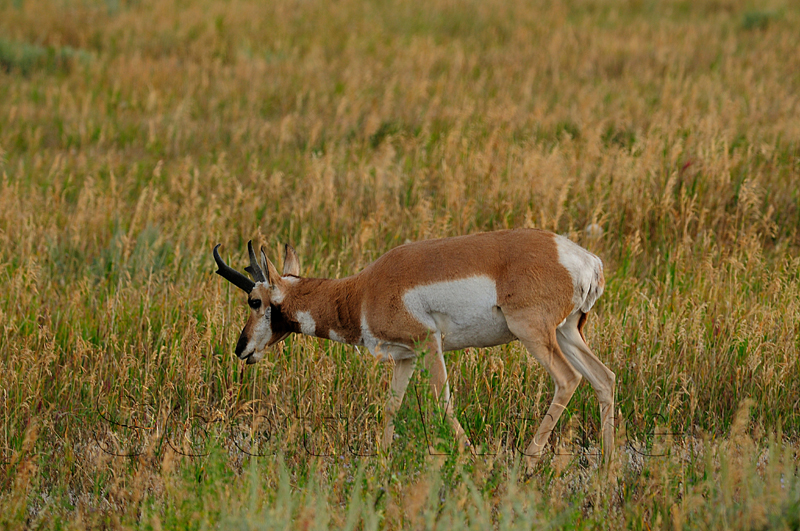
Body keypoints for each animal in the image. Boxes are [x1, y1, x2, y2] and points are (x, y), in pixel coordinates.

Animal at [213, 228, 615, 469]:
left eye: (253, 300)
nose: (241, 349)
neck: (362, 290)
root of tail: (583, 259)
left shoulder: (428, 345)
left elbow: (444, 402)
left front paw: (475, 462)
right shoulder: (405, 358)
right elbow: (391, 406)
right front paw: (380, 463)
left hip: (533, 333)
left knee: (568, 379)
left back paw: (527, 463)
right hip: (567, 332)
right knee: (604, 378)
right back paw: (608, 470)